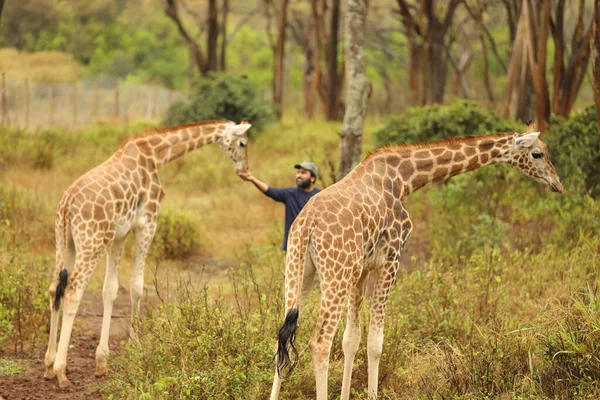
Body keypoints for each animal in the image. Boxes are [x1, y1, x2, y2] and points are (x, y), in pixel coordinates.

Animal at [43, 119, 251, 388]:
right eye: (242, 143)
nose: (245, 170)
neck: (156, 155)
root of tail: (67, 204)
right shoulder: (147, 223)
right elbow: (137, 286)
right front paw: (135, 347)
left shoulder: (119, 235)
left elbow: (110, 290)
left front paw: (102, 361)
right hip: (92, 241)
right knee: (72, 291)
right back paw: (61, 371)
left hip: (64, 240)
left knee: (53, 288)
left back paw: (48, 365)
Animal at [270, 123, 564, 398]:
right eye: (537, 153)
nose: (558, 184)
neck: (403, 179)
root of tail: (307, 225)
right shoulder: (390, 259)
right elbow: (375, 342)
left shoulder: (362, 269)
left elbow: (351, 339)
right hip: (336, 275)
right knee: (320, 342)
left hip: (300, 272)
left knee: (283, 334)